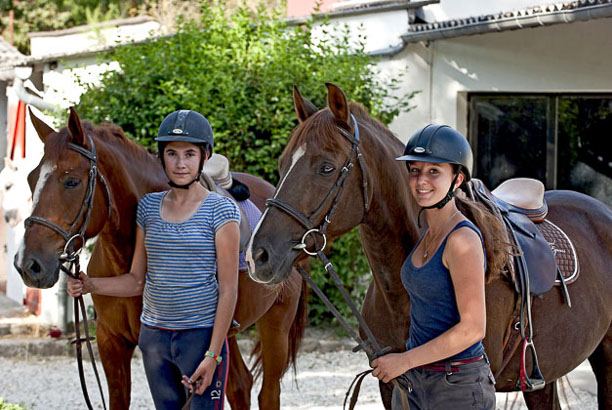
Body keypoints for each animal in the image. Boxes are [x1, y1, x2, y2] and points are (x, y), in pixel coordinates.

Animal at [14, 108, 308, 410]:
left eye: (71, 181)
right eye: (31, 179)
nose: (28, 265)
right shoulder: (111, 342)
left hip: (275, 326)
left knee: (268, 393)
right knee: (240, 385)